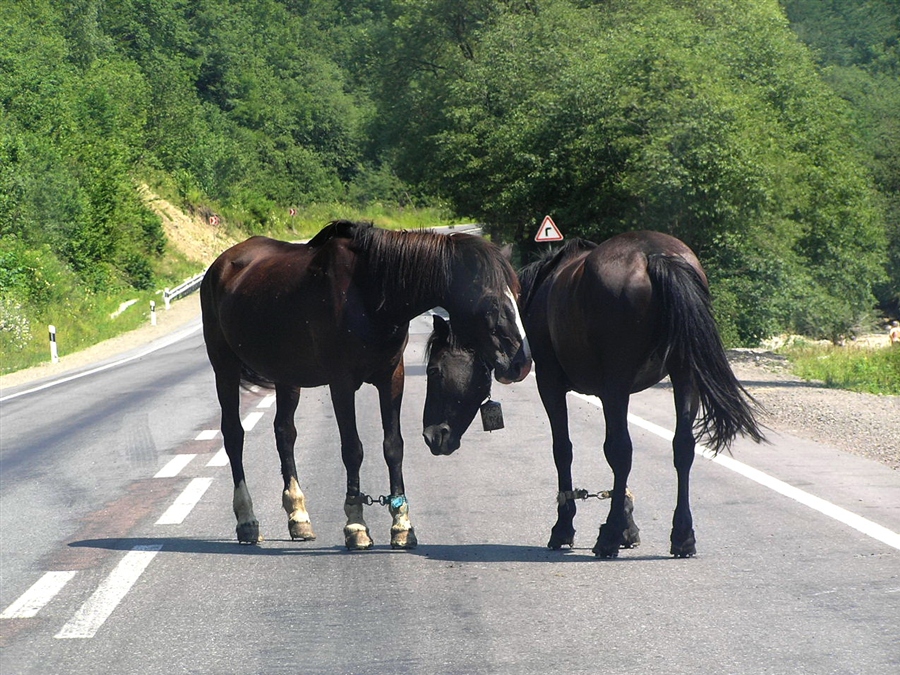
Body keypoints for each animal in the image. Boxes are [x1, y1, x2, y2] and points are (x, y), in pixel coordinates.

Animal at [200, 220, 532, 548]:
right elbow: (352, 449)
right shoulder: (341, 383)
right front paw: (356, 524)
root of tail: (221, 264)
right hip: (224, 367)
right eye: (490, 303)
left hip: (286, 375)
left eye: (517, 296)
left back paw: (299, 517)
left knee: (284, 433)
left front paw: (402, 525)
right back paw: (247, 521)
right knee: (234, 435)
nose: (522, 362)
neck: (369, 294)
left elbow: (393, 446)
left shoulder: (391, 377)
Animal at [426, 232, 764, 560]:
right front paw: (628, 525)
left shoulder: (553, 385)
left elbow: (564, 450)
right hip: (683, 377)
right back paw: (682, 537)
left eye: (434, 370)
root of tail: (655, 256)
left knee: (621, 450)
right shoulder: (611, 394)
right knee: (682, 448)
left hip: (619, 383)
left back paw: (609, 538)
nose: (433, 436)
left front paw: (566, 528)